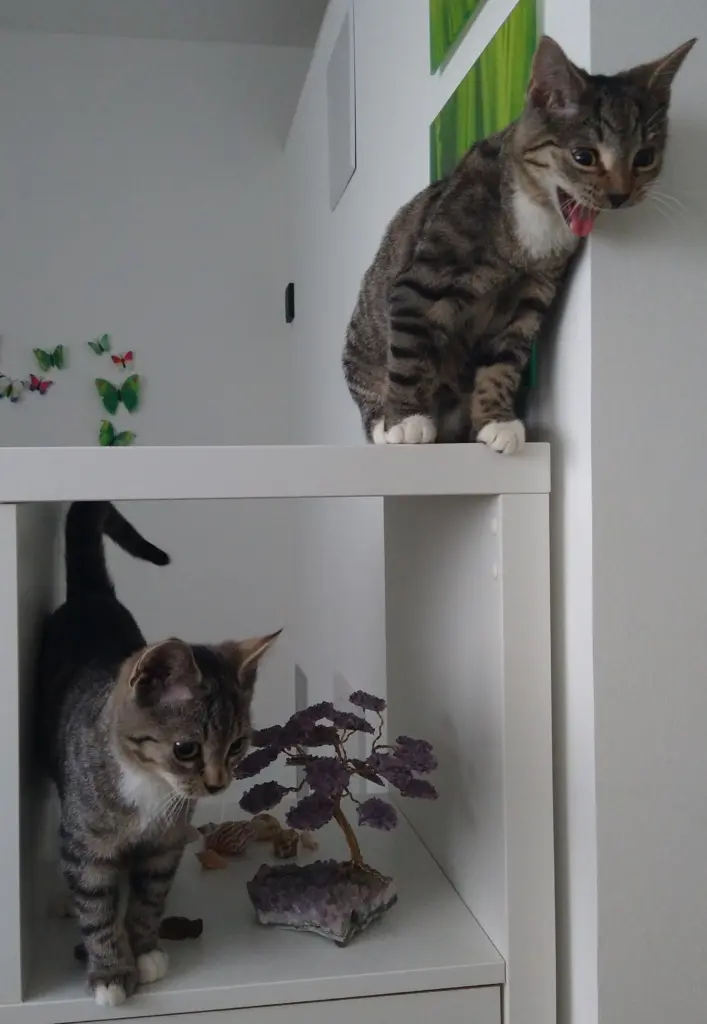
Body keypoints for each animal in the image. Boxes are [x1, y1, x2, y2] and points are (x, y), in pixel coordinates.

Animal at [36, 501, 279, 1007]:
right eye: (186, 749)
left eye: (237, 745)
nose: (217, 785)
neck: (148, 784)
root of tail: (92, 595)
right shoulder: (87, 843)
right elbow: (95, 905)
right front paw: (110, 971)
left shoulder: (165, 842)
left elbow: (150, 897)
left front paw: (144, 949)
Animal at [342, 34, 695, 454]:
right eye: (584, 156)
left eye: (645, 157)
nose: (620, 195)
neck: (533, 216)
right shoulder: (425, 278)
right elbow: (412, 350)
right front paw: (407, 420)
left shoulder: (531, 295)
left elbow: (504, 361)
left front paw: (497, 421)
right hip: (361, 348)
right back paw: (384, 424)